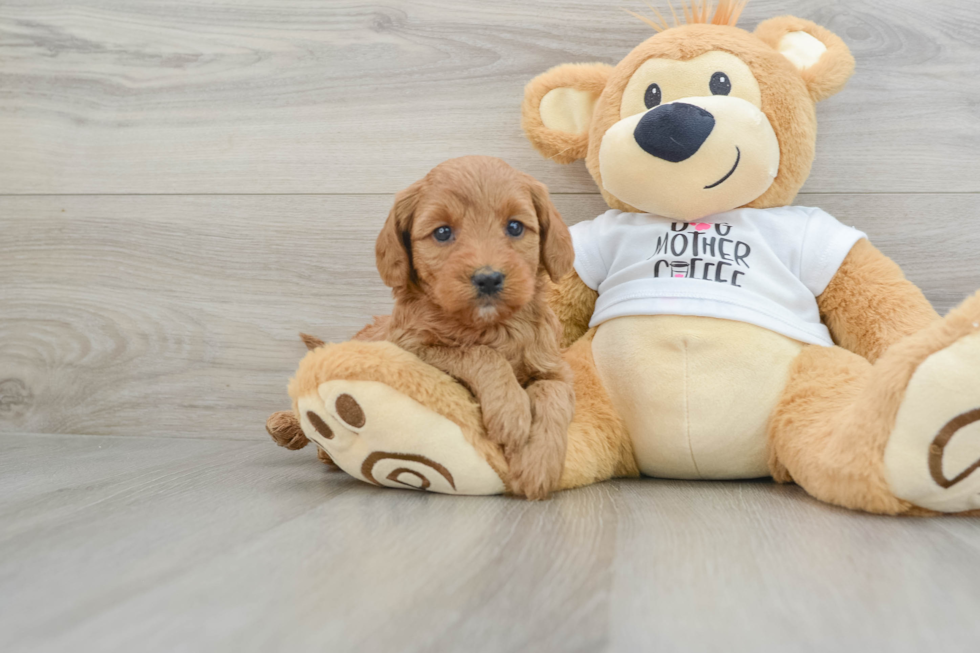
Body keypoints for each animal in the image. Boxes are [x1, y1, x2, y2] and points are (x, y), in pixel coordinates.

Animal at [268, 157, 576, 500]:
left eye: (515, 227)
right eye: (442, 232)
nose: (488, 278)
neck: (491, 326)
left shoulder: (555, 367)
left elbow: (553, 393)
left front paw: (539, 464)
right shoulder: (411, 348)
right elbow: (479, 353)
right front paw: (510, 412)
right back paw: (287, 427)